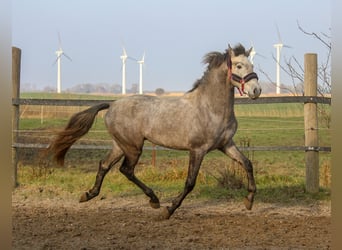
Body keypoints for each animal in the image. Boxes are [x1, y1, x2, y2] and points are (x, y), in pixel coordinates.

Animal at [46, 43, 262, 219]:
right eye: (239, 66)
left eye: (252, 66)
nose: (256, 91)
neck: (210, 108)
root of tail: (112, 105)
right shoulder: (198, 150)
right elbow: (190, 182)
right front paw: (169, 210)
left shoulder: (226, 145)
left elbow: (247, 164)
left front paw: (249, 200)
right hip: (133, 147)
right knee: (126, 170)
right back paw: (155, 201)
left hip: (120, 145)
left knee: (104, 165)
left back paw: (89, 194)